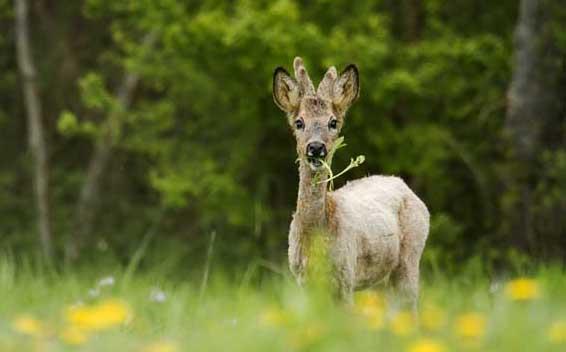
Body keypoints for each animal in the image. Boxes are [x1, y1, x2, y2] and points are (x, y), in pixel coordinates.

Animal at [274, 57, 430, 310]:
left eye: (333, 122)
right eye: (299, 122)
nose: (315, 148)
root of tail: (404, 185)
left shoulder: (345, 274)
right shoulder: (302, 278)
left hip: (410, 256)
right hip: (380, 279)